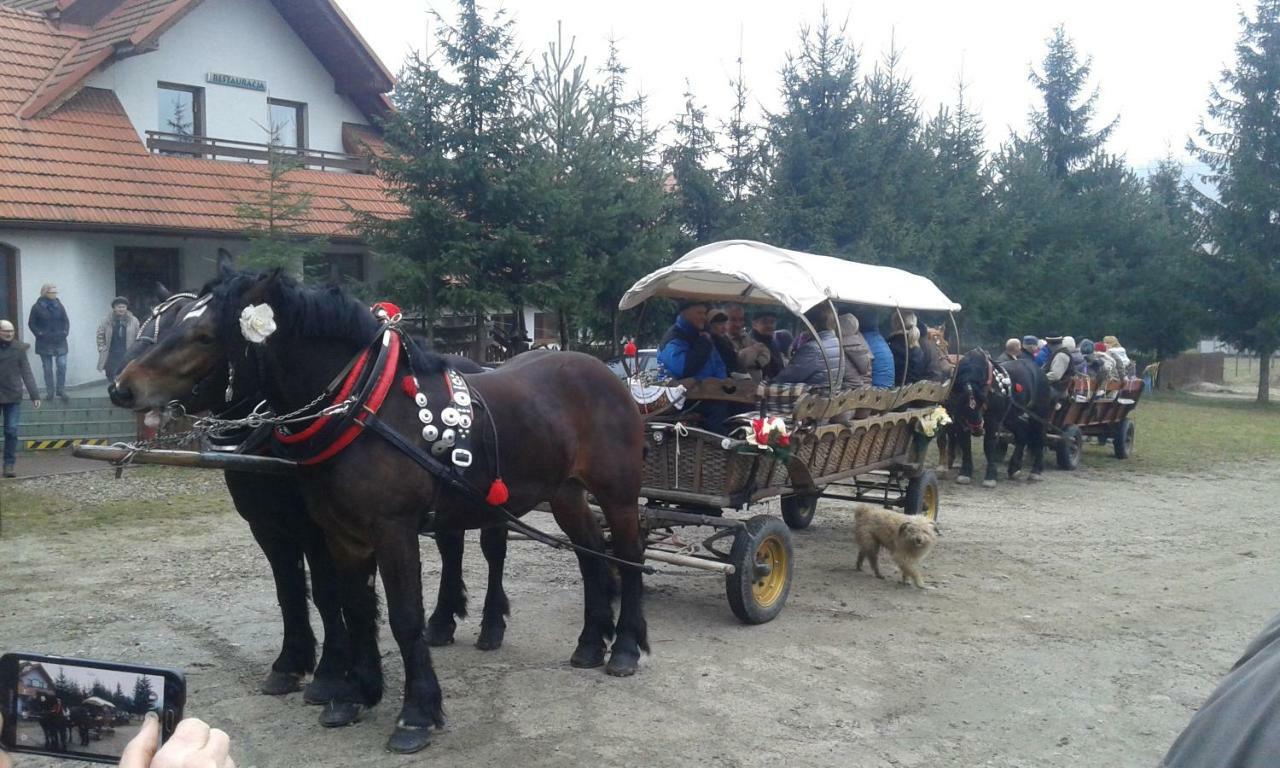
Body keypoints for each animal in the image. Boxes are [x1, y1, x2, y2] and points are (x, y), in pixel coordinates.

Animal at [110, 270, 650, 747]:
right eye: (164, 325)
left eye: (202, 335)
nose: (122, 386)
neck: (361, 410)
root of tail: (602, 370)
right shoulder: (336, 533)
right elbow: (349, 605)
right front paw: (354, 692)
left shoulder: (391, 531)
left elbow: (402, 617)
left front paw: (415, 712)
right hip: (564, 493)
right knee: (589, 556)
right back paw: (589, 642)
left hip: (618, 494)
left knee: (627, 557)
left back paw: (623, 647)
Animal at [942, 350, 1049, 486]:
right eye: (960, 402)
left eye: (982, 400)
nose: (977, 428)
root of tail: (1038, 370)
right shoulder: (960, 420)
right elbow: (965, 444)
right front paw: (965, 473)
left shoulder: (993, 421)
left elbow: (989, 445)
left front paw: (990, 476)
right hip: (1010, 417)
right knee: (1022, 433)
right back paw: (1014, 468)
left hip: (1039, 416)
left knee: (1039, 437)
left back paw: (1036, 471)